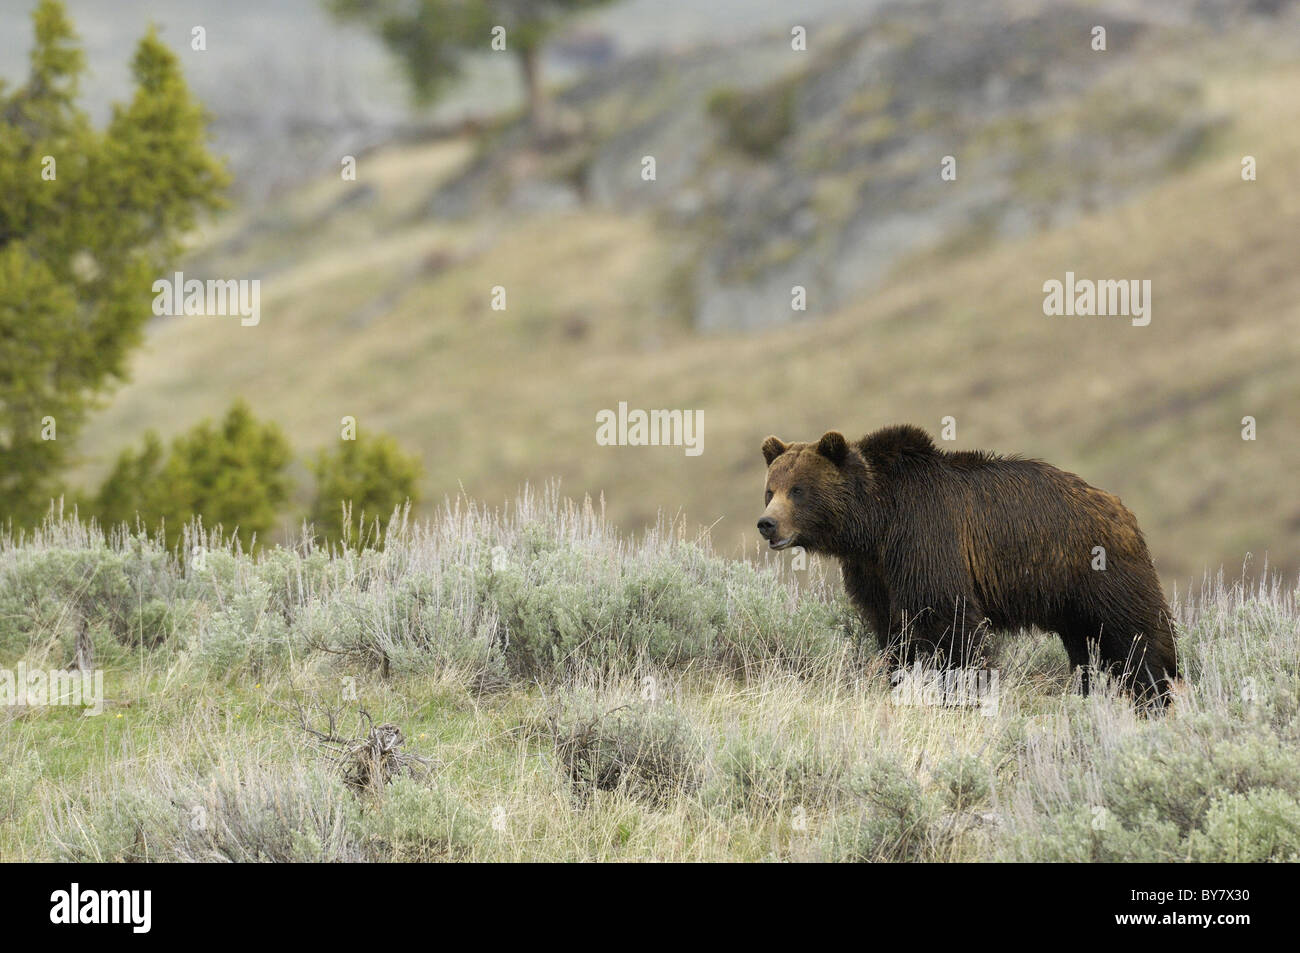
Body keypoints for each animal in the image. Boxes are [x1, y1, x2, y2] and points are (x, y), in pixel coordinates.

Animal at [759, 426, 1180, 702]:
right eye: (770, 490)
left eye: (798, 490)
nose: (767, 524)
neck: (876, 522)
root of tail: (1121, 508)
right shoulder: (873, 571)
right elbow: (892, 628)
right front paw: (900, 679)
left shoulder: (925, 537)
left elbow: (947, 620)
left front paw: (963, 690)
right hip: (1069, 598)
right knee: (1086, 648)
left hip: (1100, 571)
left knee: (1136, 636)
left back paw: (1156, 693)